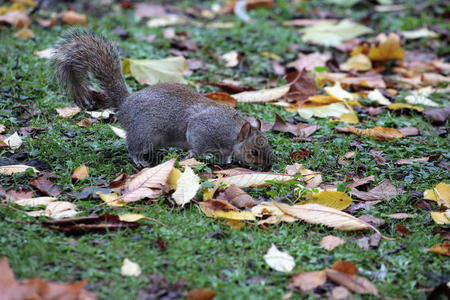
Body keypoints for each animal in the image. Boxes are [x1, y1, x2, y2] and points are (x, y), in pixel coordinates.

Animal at [51, 29, 272, 170]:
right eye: (254, 152)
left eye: (268, 144)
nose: (267, 167)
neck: (233, 131)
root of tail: (125, 104)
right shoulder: (202, 130)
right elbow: (196, 147)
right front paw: (190, 157)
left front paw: (226, 162)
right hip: (145, 132)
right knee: (134, 147)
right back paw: (140, 161)